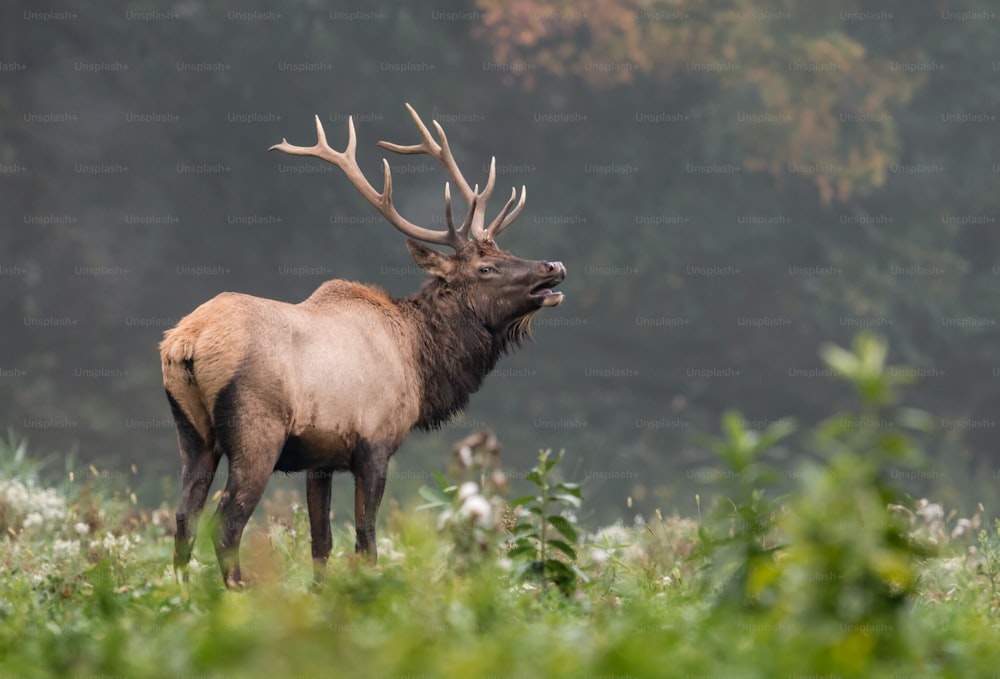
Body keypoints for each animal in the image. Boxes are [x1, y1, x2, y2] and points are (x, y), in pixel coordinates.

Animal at [161, 103, 568, 588]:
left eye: (505, 251)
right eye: (485, 267)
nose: (554, 265)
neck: (420, 362)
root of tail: (185, 343)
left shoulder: (319, 457)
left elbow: (321, 544)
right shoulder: (375, 443)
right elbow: (366, 540)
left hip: (193, 432)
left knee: (184, 517)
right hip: (256, 431)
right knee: (226, 523)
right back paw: (238, 593)